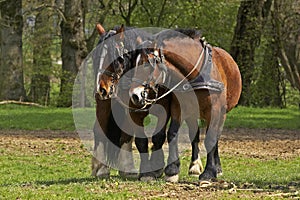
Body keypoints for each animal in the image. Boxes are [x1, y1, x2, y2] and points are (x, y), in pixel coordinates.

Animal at [130, 28, 243, 182]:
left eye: (147, 63)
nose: (134, 95)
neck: (197, 73)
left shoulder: (214, 110)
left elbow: (210, 139)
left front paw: (209, 172)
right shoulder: (179, 107)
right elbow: (172, 133)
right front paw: (172, 170)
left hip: (222, 113)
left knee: (216, 137)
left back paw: (217, 168)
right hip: (193, 113)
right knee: (194, 135)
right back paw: (194, 165)